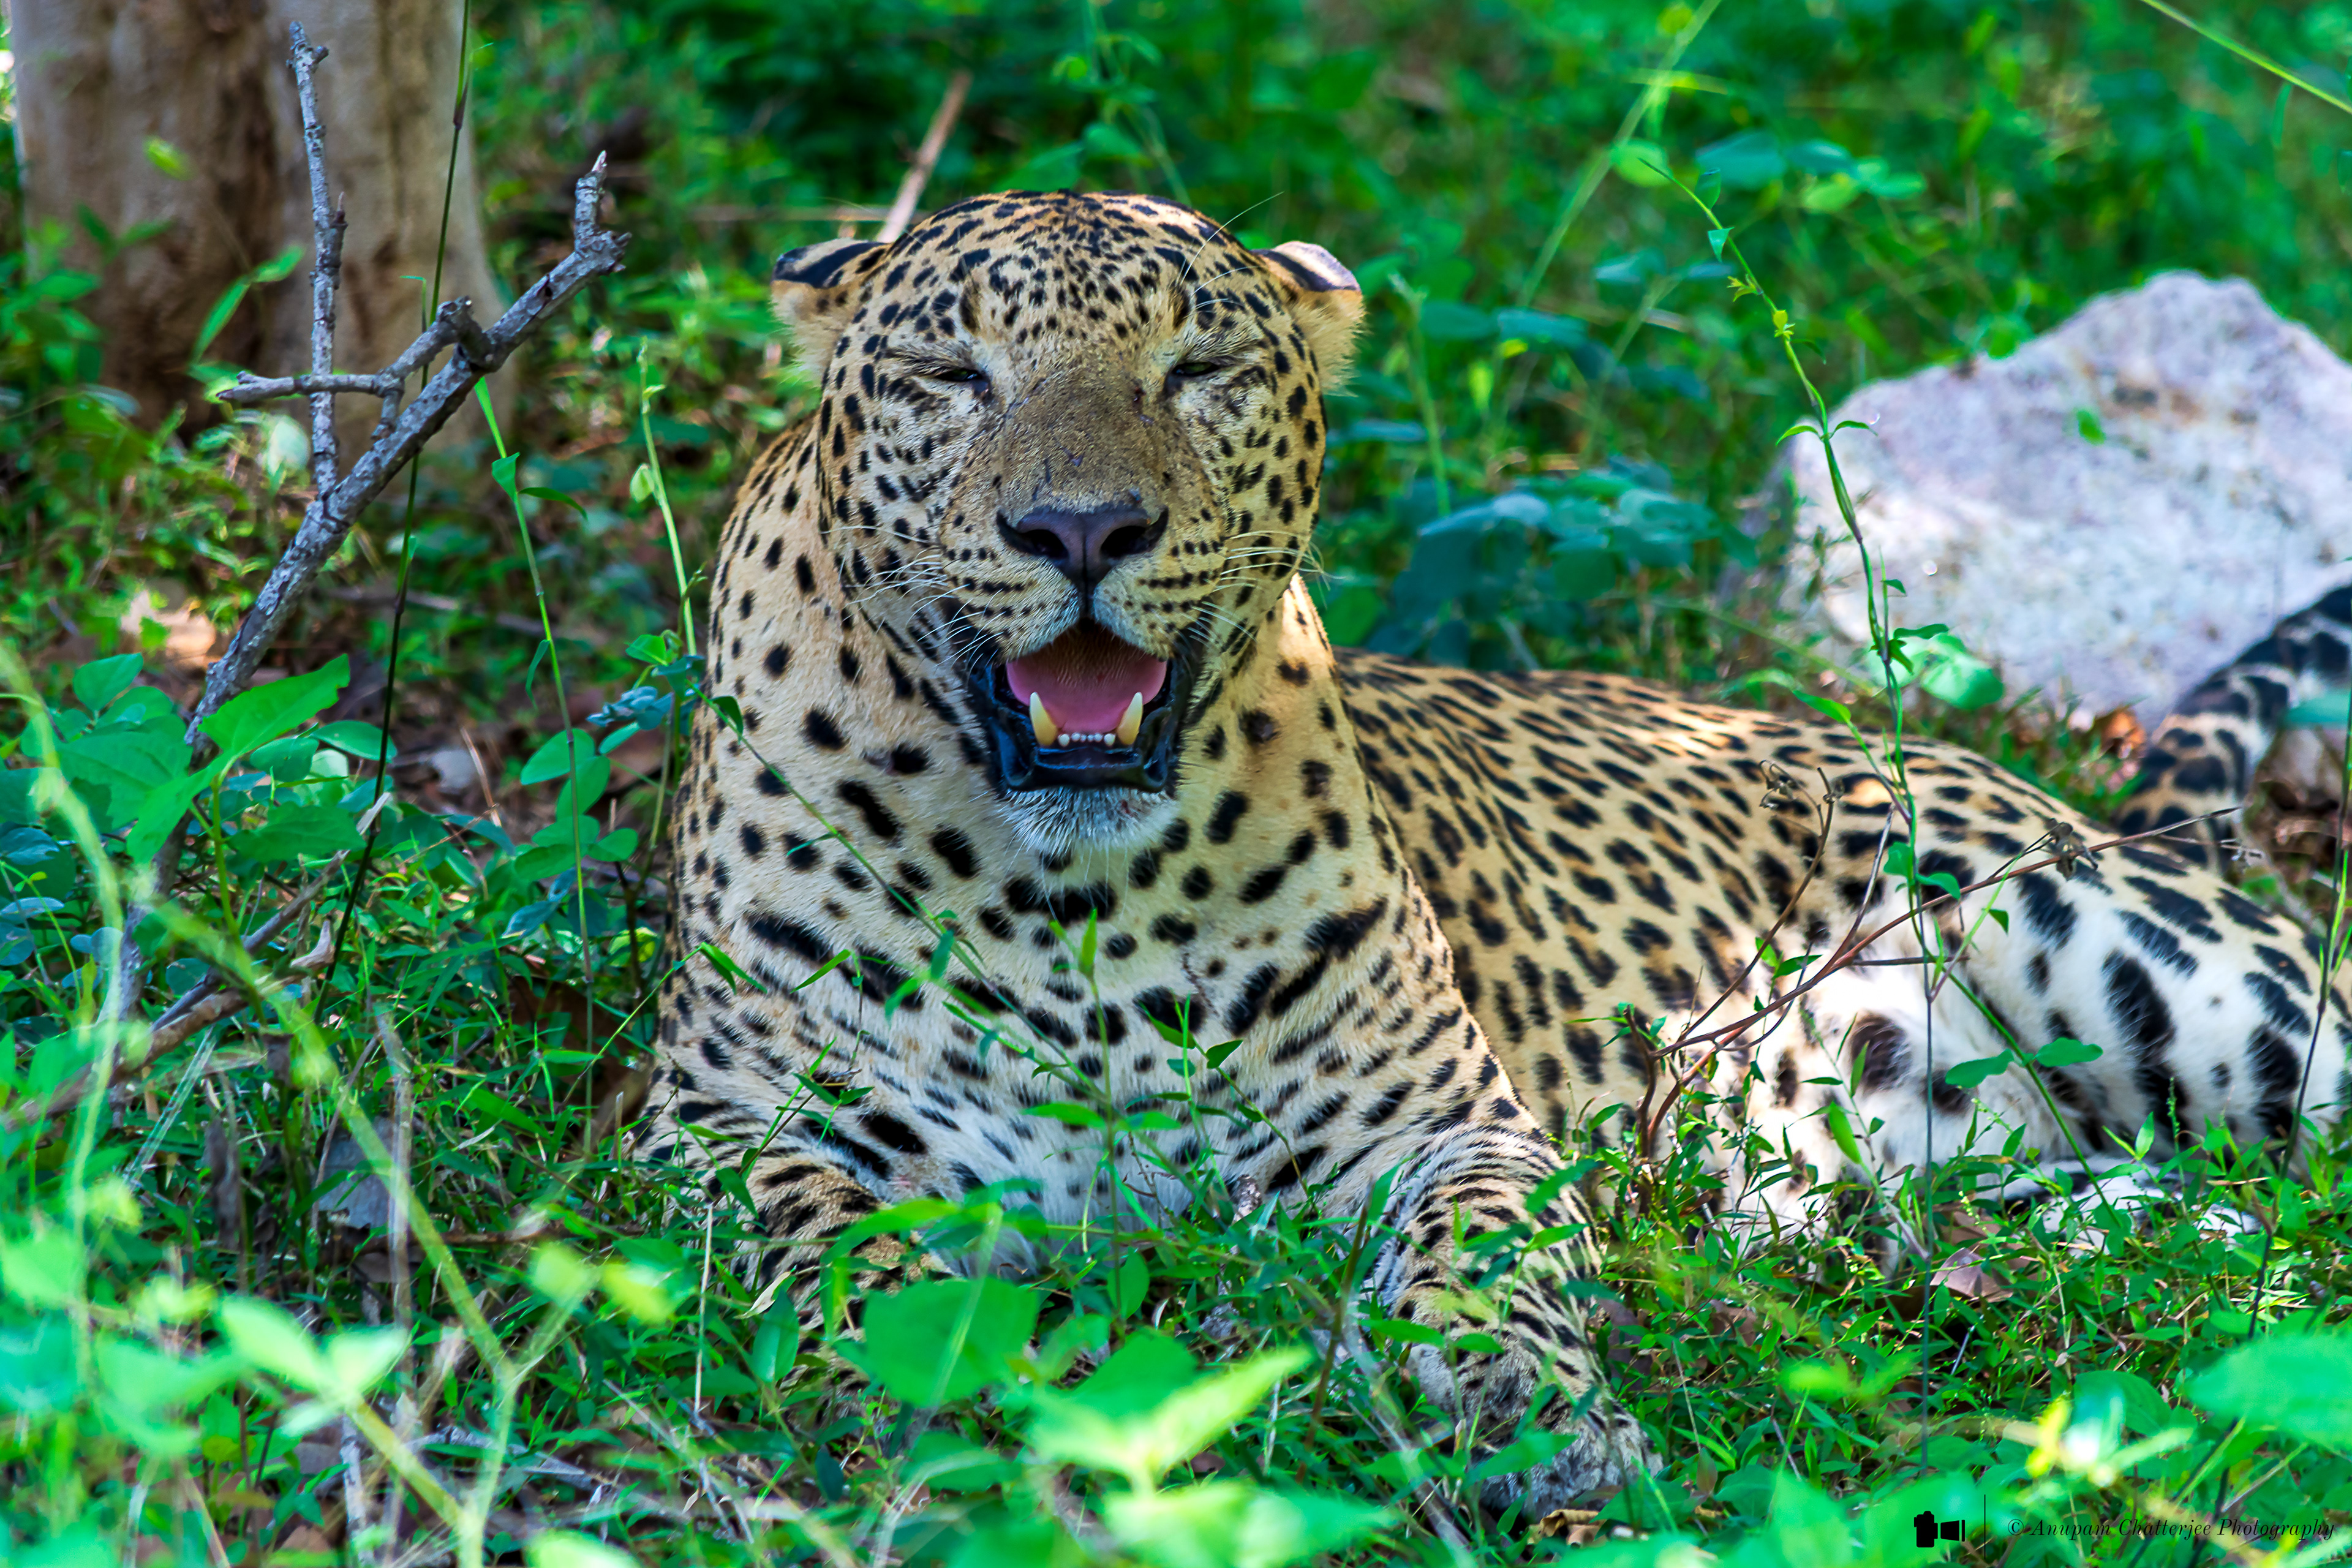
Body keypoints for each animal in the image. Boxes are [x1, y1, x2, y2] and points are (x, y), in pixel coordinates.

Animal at [637, 188, 2352, 1518]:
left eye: (1199, 368)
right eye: (951, 372)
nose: (1080, 530)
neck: (1071, 895)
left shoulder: (1434, 1124)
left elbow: (1484, 1252)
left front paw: (1522, 1409)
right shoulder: (715, 1123)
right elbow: (822, 1234)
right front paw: (930, 1372)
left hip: (2178, 975)